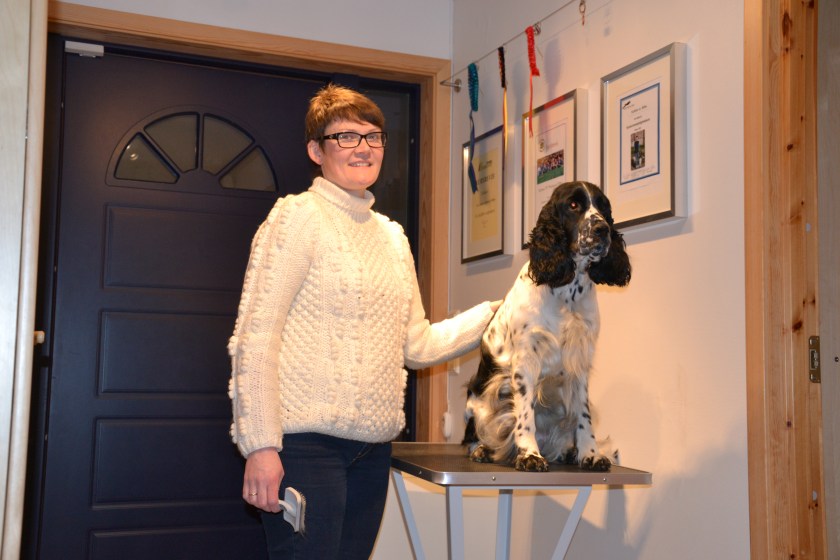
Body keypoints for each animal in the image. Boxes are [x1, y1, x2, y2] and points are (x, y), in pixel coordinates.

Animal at [463, 181, 631, 472]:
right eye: (573, 205)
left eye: (604, 207)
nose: (603, 229)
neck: (567, 291)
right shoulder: (526, 361)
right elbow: (525, 415)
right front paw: (530, 455)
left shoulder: (580, 362)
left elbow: (583, 418)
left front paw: (590, 454)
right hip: (480, 401)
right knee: (480, 432)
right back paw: (483, 450)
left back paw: (567, 452)